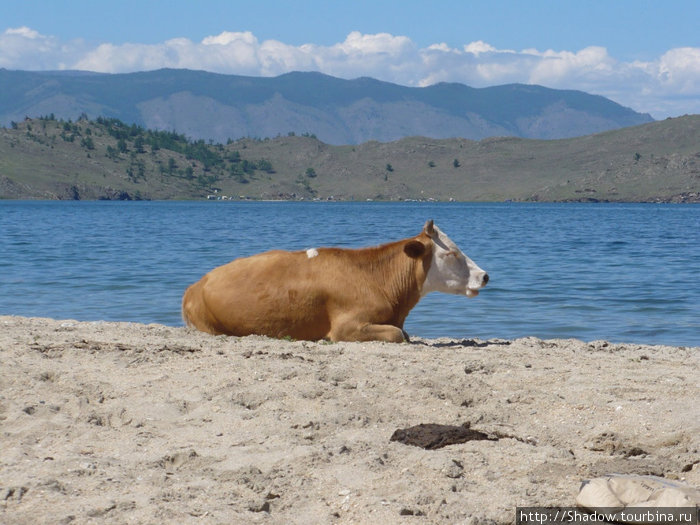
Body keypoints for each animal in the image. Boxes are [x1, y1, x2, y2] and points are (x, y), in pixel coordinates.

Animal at [180, 219, 486, 342]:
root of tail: (196, 284)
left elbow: (404, 333)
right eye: (452, 253)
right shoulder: (346, 326)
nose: (484, 275)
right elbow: (398, 335)